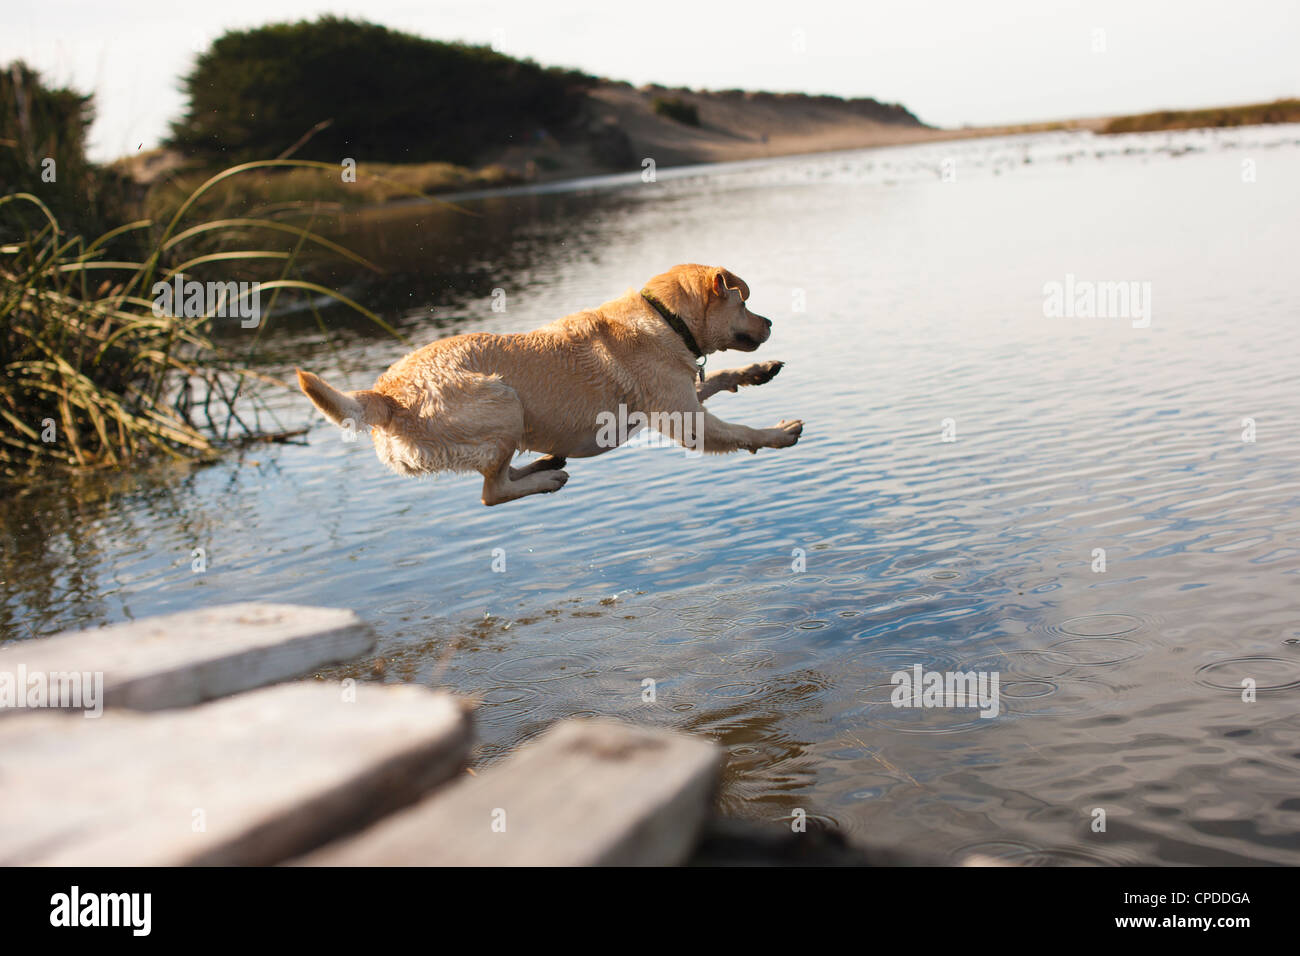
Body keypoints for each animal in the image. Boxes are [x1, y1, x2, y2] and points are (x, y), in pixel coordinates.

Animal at [299, 260, 800, 502]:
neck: (667, 318)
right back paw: (544, 480)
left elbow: (715, 376)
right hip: (504, 402)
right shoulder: (686, 420)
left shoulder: (680, 392)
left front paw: (756, 373)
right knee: (491, 492)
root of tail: (386, 394)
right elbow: (739, 432)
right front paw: (776, 434)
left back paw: (543, 463)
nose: (771, 322)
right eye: (744, 303)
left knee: (499, 474)